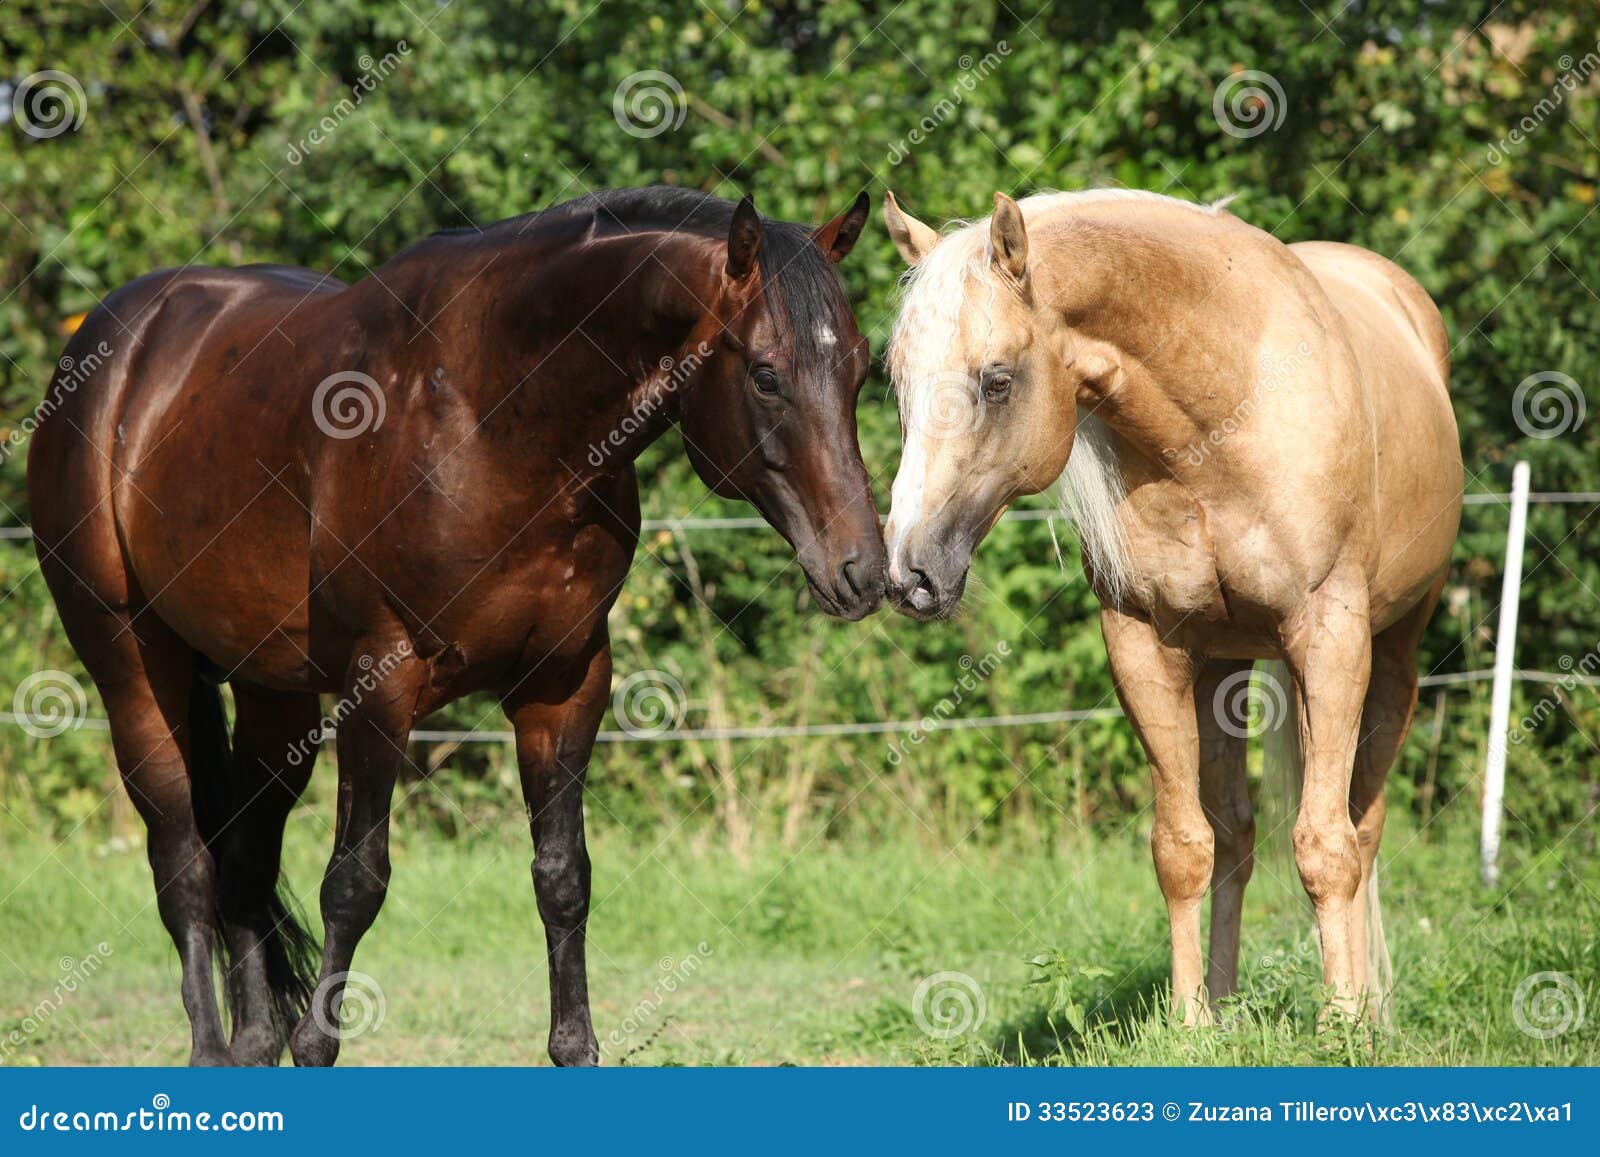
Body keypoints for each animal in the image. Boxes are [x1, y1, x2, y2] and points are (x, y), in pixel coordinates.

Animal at [31, 185, 889, 1062]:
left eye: (863, 368)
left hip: (273, 691)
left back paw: (253, 1043)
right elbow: (354, 882)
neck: (492, 416)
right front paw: (317, 1044)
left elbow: (562, 876)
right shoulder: (381, 682)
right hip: (132, 666)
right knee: (184, 864)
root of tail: (115, 344)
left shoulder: (565, 682)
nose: (863, 570)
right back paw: (210, 1048)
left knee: (244, 853)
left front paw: (575, 1046)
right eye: (766, 375)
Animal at [883, 188, 1465, 1024]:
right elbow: (1183, 847)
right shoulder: (1144, 645)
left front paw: (1342, 1023)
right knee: (1237, 837)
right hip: (1221, 669)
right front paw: (1191, 1021)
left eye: (996, 380)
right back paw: (1225, 998)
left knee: (1363, 825)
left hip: (1394, 652)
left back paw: (1369, 1005)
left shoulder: (1330, 636)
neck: (1224, 417)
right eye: (897, 378)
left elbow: (1327, 846)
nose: (909, 571)